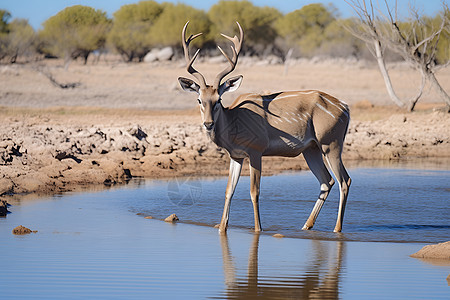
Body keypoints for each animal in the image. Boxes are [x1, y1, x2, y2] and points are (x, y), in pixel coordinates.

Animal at [178, 21, 352, 232]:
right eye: (199, 99)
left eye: (218, 99)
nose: (208, 123)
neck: (235, 125)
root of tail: (345, 107)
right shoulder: (236, 155)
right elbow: (229, 190)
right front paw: (222, 227)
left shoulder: (256, 150)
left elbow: (254, 191)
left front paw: (258, 229)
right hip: (311, 148)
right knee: (327, 181)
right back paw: (306, 226)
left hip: (331, 142)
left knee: (344, 180)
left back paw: (336, 229)